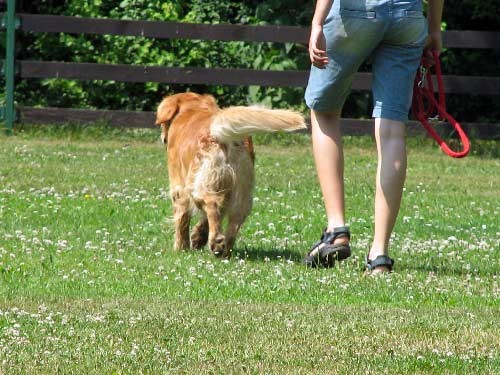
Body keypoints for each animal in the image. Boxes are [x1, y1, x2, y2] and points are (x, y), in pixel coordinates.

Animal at [155, 93, 304, 258]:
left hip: (199, 184)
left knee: (211, 204)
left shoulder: (178, 187)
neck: (193, 108)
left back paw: (217, 242)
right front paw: (198, 237)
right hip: (241, 191)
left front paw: (180, 248)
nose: (163, 138)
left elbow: (182, 219)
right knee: (235, 219)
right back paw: (225, 249)